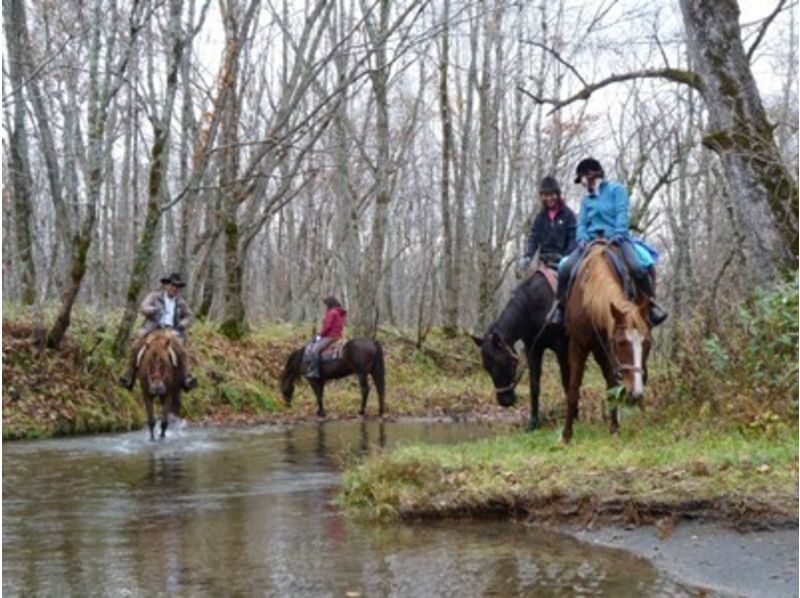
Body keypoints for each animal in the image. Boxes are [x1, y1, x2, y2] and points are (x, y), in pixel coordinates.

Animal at [472, 270, 572, 434]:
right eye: (486, 367)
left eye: (505, 363)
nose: (504, 401)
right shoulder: (533, 348)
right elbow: (534, 385)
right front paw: (533, 423)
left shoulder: (562, 348)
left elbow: (567, 382)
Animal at [564, 241, 656, 442]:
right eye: (621, 343)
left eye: (647, 344)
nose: (634, 394)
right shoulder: (578, 346)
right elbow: (573, 389)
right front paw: (566, 435)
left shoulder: (609, 351)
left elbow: (614, 384)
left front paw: (614, 428)